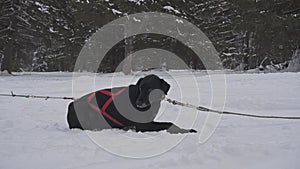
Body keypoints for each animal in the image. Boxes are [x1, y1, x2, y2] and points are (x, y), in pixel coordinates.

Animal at [66, 74, 196, 133]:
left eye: (150, 89)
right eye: (141, 88)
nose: (138, 102)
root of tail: (70, 106)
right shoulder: (144, 126)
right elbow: (169, 123)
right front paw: (187, 130)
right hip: (85, 111)